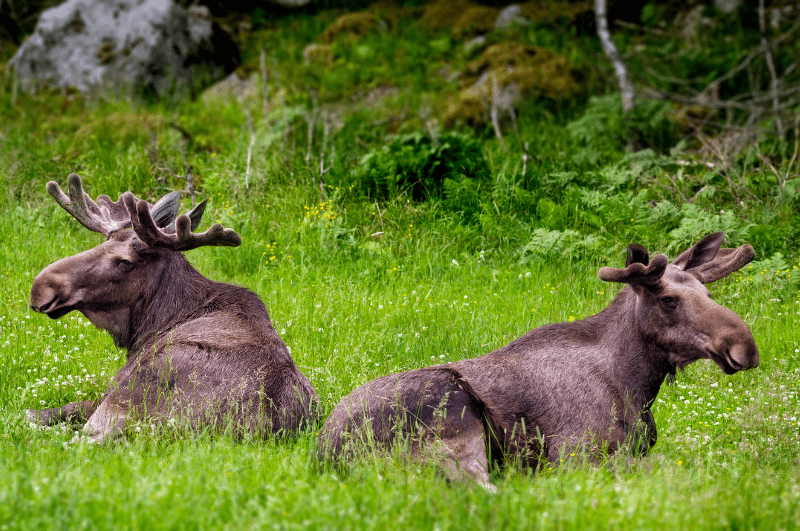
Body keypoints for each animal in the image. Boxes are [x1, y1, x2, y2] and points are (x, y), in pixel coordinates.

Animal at [28, 174, 316, 440]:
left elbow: (53, 410)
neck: (154, 322)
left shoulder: (110, 390)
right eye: (103, 244)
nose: (41, 287)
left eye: (124, 261)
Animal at [318, 235, 756, 488]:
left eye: (707, 292)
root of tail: (324, 454)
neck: (636, 384)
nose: (745, 346)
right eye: (668, 299)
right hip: (455, 418)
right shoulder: (576, 456)